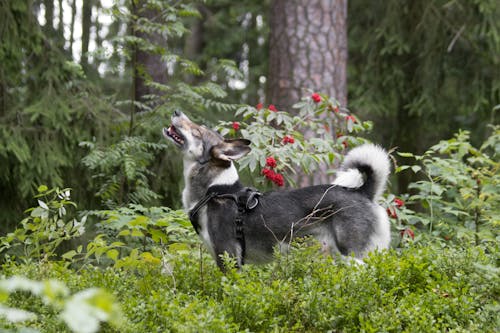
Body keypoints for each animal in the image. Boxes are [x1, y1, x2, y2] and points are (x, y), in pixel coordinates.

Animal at [164, 110, 390, 268]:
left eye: (197, 131)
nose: (176, 112)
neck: (217, 190)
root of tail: (363, 192)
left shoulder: (228, 257)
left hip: (352, 256)